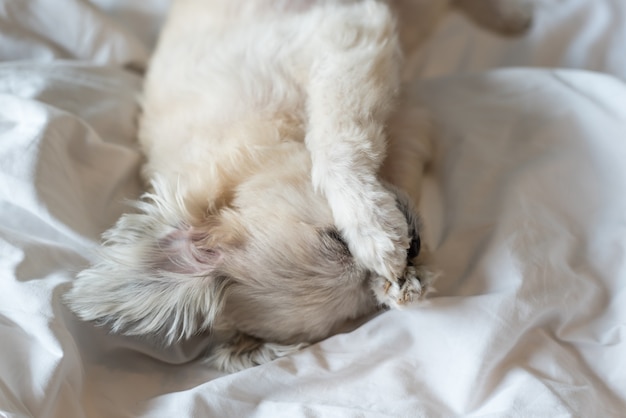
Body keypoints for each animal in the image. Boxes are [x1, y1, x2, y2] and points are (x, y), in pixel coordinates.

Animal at [64, 0, 532, 372]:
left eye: (339, 239)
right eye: (359, 310)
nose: (414, 245)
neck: (247, 142)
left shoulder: (342, 37)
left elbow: (333, 140)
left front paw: (370, 225)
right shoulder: (407, 122)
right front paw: (401, 283)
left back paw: (509, 14)